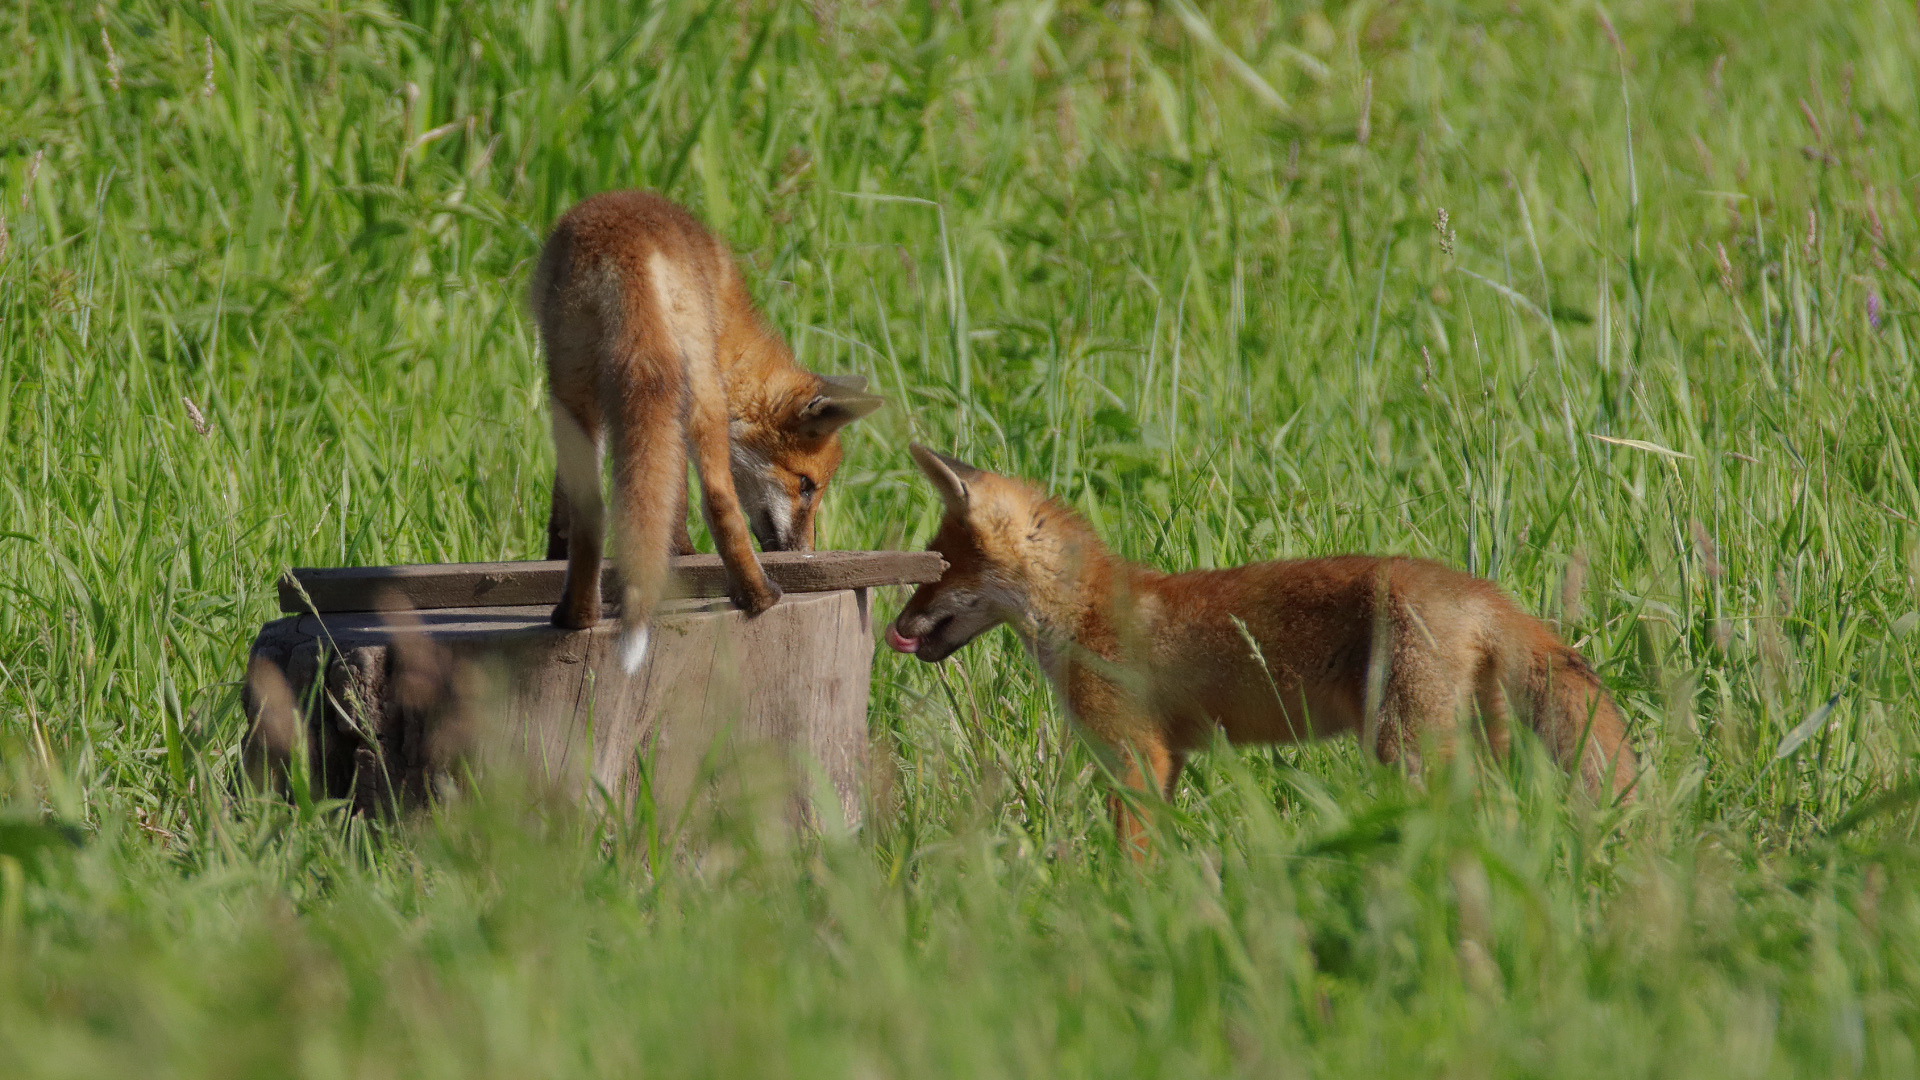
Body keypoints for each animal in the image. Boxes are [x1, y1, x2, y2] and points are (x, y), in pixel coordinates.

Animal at [533, 189, 879, 668]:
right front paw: (684, 551)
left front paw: (554, 554)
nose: (804, 551)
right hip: (697, 389)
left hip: (572, 384)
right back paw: (758, 598)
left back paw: (577, 616)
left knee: (592, 512)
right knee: (718, 501)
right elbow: (677, 497)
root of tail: (628, 249)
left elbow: (563, 499)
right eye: (807, 486)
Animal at [890, 441, 1643, 853]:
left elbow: (1133, 854)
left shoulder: (1135, 753)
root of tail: (1482, 590)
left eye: (938, 567)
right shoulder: (1169, 759)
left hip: (1408, 748)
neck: (1085, 612)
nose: (897, 625)